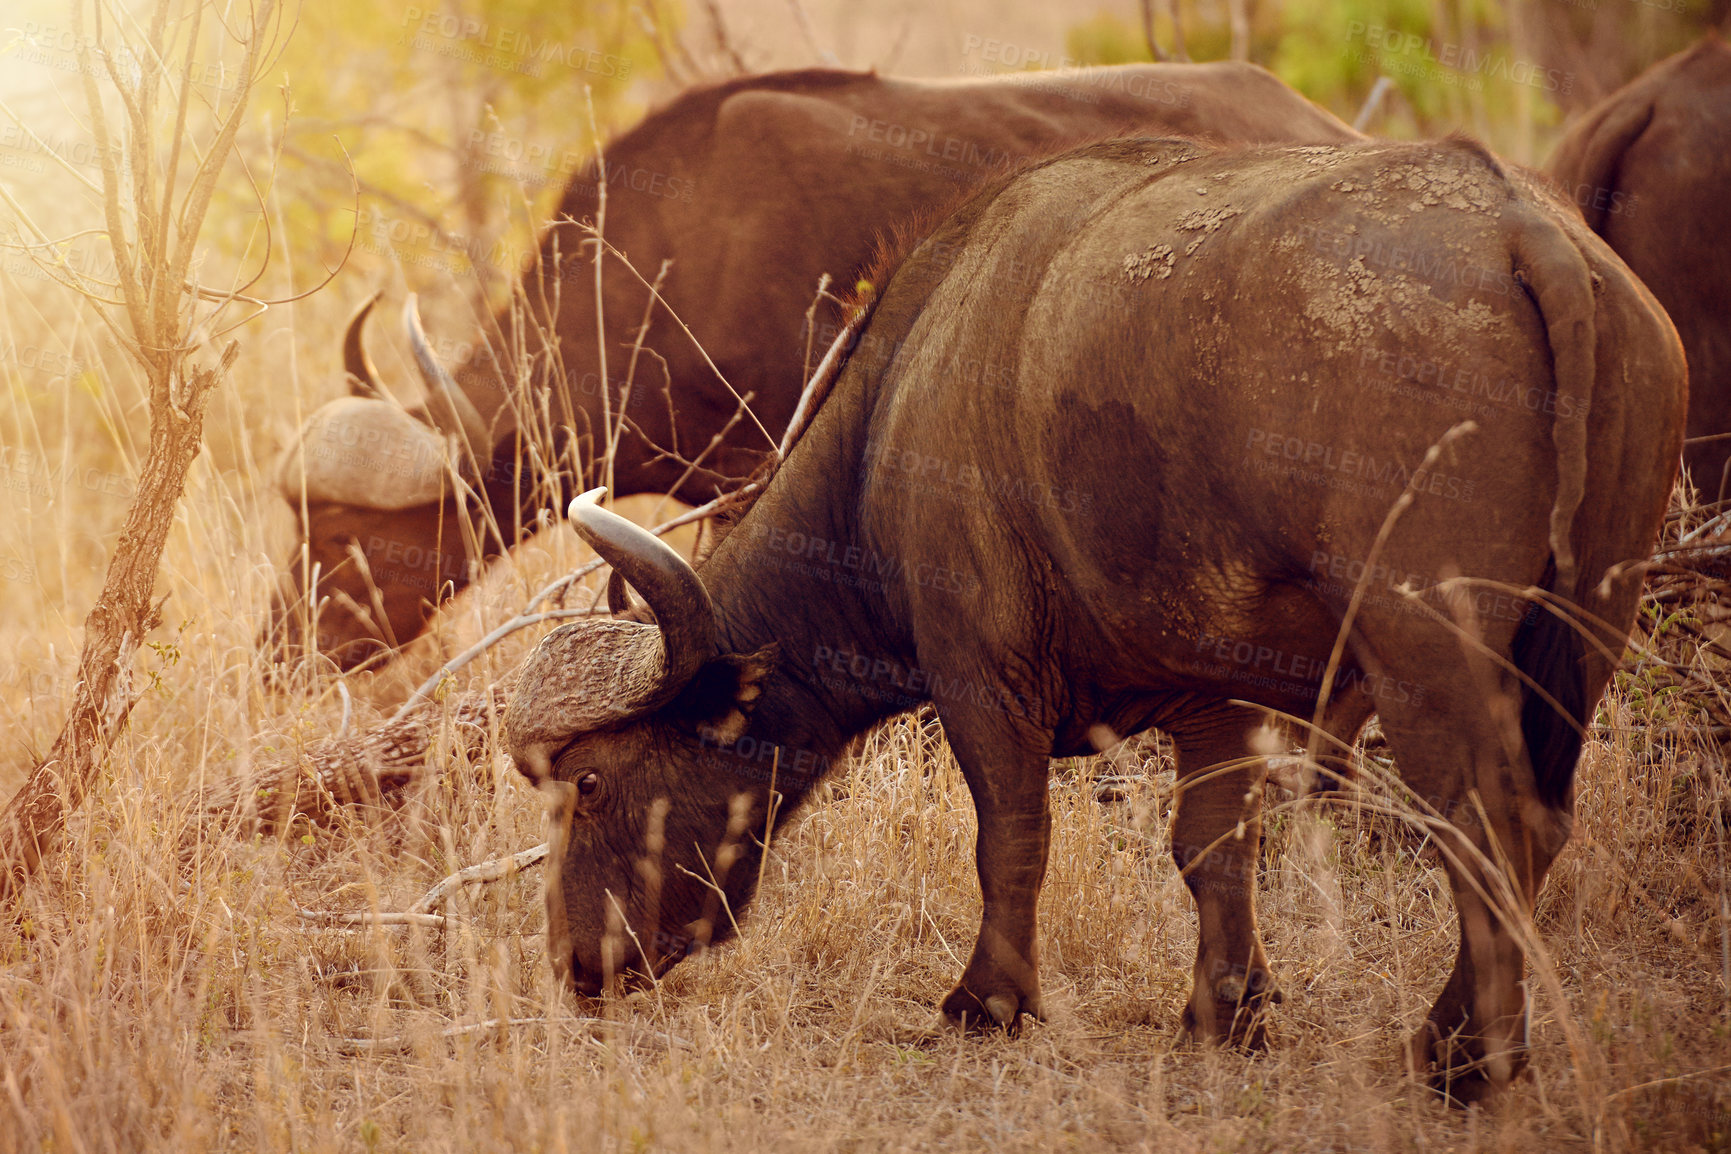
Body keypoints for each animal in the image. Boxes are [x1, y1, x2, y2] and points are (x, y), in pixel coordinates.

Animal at [505, 135, 1689, 1100]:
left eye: (591, 783)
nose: (573, 964)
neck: (901, 399)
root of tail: (1527, 229)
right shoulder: (1217, 692)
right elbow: (1212, 847)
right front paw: (1225, 1012)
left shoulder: (978, 671)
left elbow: (1011, 837)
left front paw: (985, 1001)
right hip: (1588, 630)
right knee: (1538, 825)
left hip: (1426, 649)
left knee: (1487, 828)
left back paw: (1461, 1059)